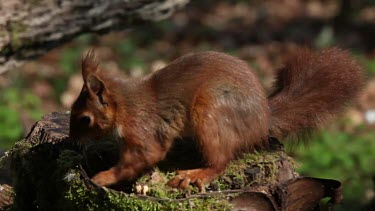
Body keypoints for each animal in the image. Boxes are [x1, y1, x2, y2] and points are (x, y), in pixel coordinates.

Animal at [70, 48, 364, 191]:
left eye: (84, 119)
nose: (73, 142)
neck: (125, 106)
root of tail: (262, 120)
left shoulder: (144, 130)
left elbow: (145, 156)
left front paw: (103, 177)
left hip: (211, 111)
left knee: (220, 161)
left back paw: (195, 174)